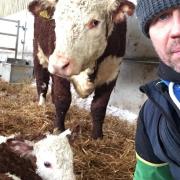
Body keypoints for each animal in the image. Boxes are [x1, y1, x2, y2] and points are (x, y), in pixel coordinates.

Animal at [28, 0, 135, 139]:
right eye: (56, 20)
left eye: (95, 22)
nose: (58, 64)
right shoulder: (59, 72)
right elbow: (62, 98)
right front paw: (59, 130)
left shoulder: (112, 72)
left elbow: (99, 106)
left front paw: (97, 137)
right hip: (38, 52)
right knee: (42, 81)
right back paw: (42, 105)